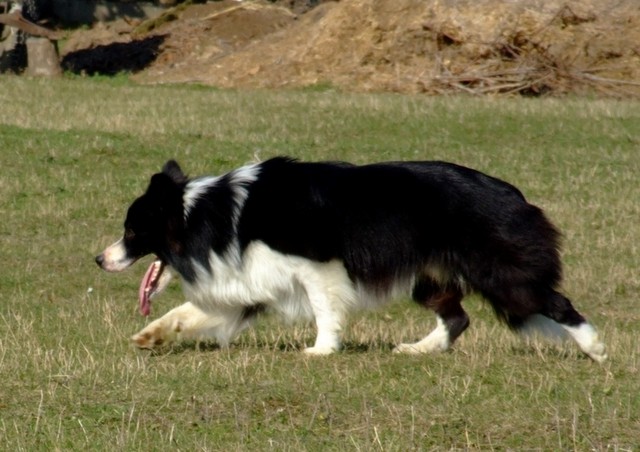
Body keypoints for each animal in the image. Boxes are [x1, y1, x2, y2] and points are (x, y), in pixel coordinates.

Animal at [95, 157, 606, 362]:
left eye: (131, 230)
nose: (99, 259)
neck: (209, 216)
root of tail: (516, 195)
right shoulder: (248, 280)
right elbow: (191, 311)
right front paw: (151, 336)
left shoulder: (316, 265)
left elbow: (325, 309)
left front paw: (322, 349)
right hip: (429, 278)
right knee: (457, 318)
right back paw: (419, 349)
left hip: (500, 274)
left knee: (556, 303)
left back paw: (595, 349)